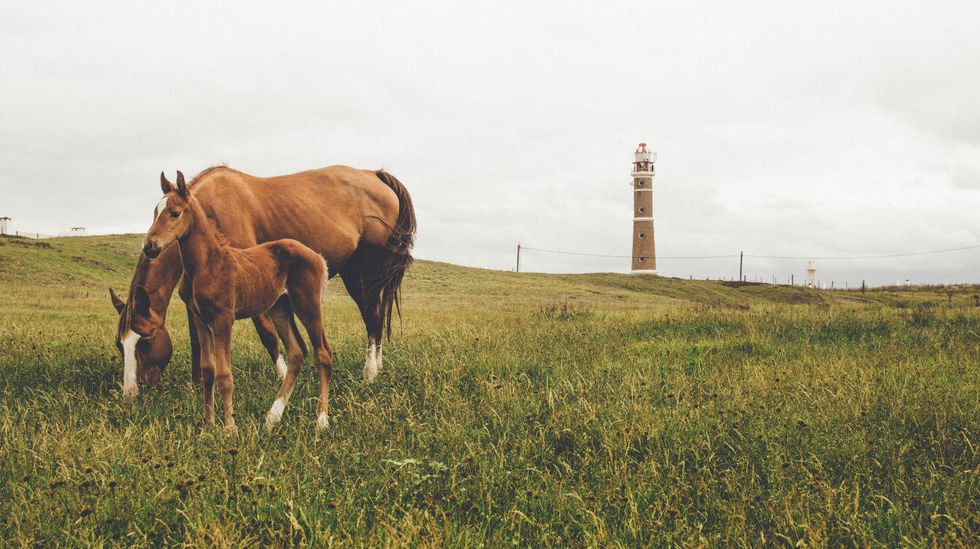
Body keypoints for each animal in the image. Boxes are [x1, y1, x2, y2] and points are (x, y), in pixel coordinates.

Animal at [110, 165, 416, 399]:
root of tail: (374, 175)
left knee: (372, 318)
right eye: (119, 344)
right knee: (376, 317)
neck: (210, 211)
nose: (130, 393)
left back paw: (370, 373)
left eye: (145, 341)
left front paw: (282, 376)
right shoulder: (197, 298)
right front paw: (198, 385)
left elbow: (267, 333)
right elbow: (197, 340)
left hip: (363, 273)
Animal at [145, 171, 332, 431]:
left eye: (174, 212)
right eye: (155, 211)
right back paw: (272, 417)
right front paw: (207, 426)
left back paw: (321, 420)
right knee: (297, 352)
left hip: (308, 305)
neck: (206, 265)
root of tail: (318, 257)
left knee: (322, 353)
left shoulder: (223, 319)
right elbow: (208, 370)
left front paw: (229, 428)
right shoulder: (201, 319)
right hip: (279, 308)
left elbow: (225, 374)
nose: (149, 246)